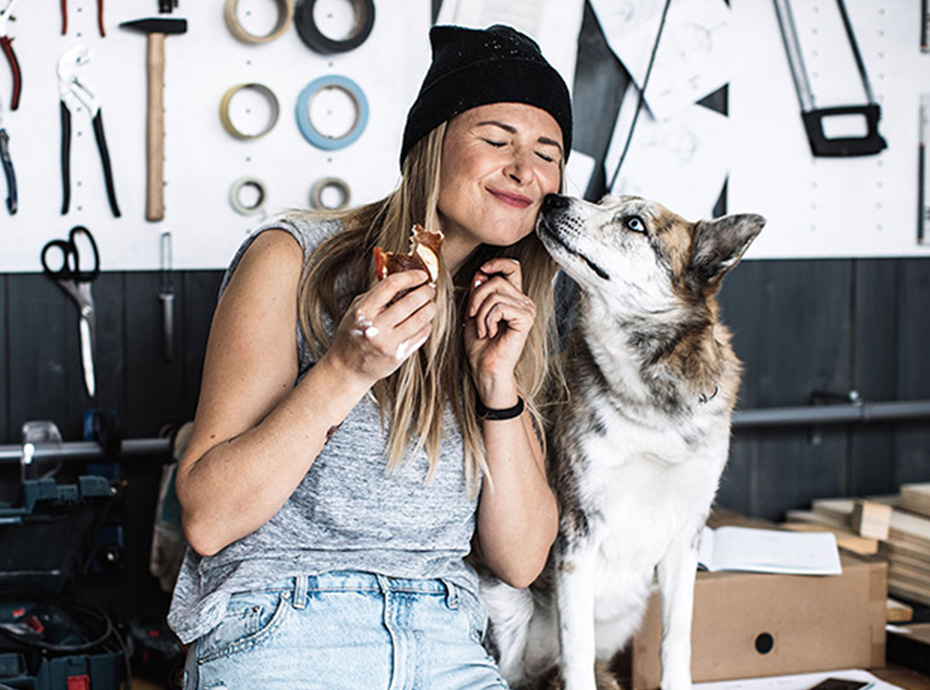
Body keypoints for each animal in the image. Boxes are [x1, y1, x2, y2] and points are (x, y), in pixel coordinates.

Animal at [478, 194, 760, 688]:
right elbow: (577, 648)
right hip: (508, 609)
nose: (553, 199)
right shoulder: (577, 533)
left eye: (634, 223)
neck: (651, 403)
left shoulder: (686, 535)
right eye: (601, 201)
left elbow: (677, 639)